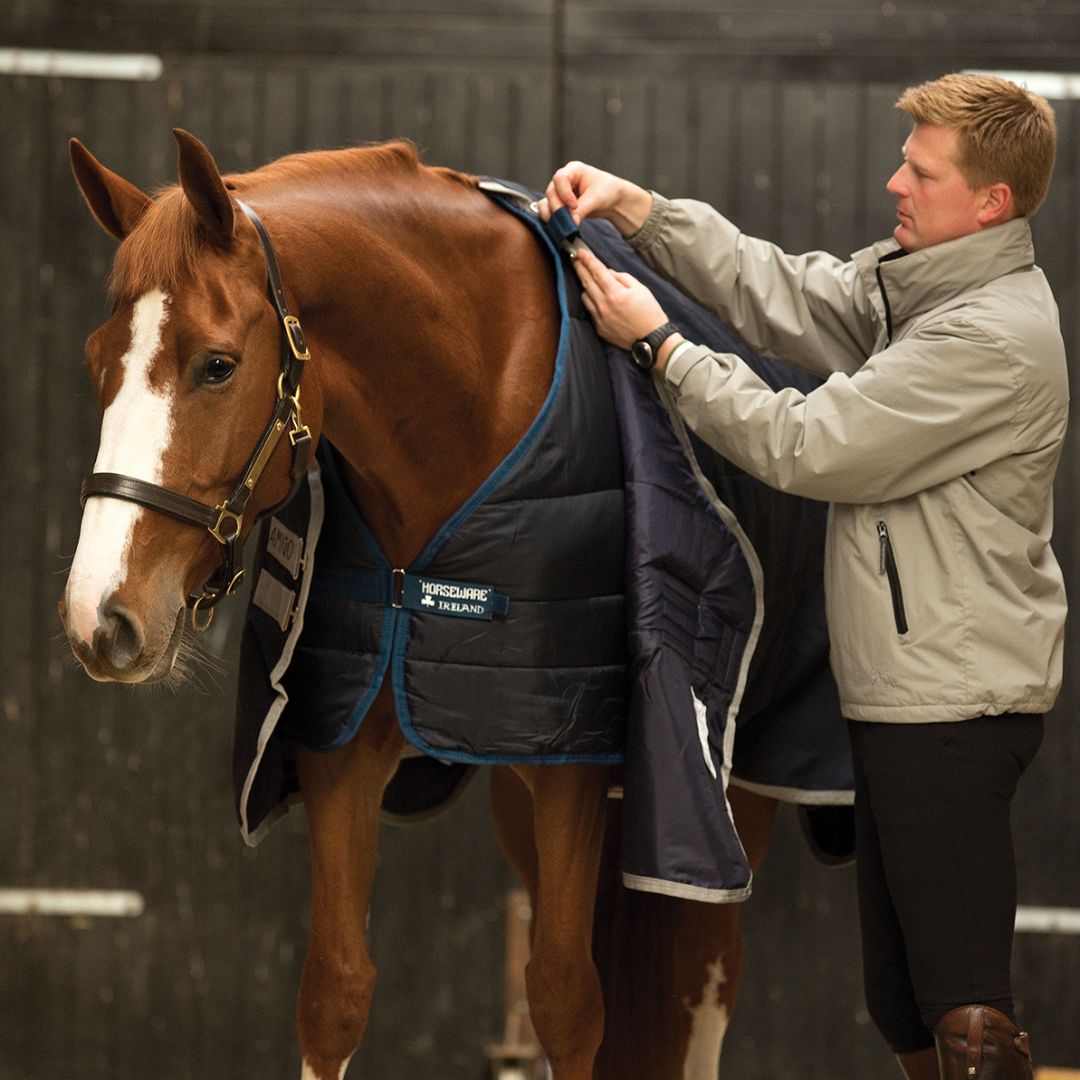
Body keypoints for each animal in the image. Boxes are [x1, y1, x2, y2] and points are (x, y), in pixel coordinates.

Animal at [59, 128, 786, 1080]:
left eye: (217, 365)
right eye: (96, 363)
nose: (97, 618)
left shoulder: (574, 764)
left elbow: (566, 1002)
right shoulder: (341, 745)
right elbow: (334, 991)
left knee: (702, 982)